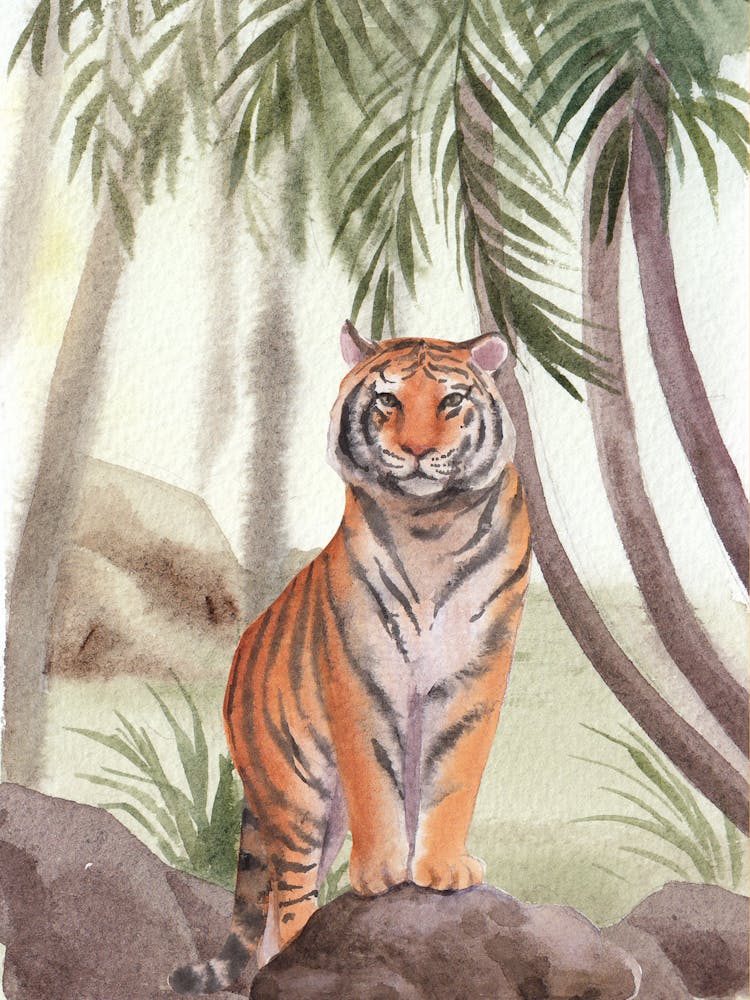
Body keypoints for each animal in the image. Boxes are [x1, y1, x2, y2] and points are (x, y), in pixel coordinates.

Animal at [169, 322, 531, 995]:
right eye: (388, 401)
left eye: (451, 402)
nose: (416, 450)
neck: (430, 525)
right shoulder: (362, 672)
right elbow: (374, 781)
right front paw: (383, 875)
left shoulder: (475, 673)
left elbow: (455, 775)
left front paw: (442, 869)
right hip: (294, 792)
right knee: (288, 902)